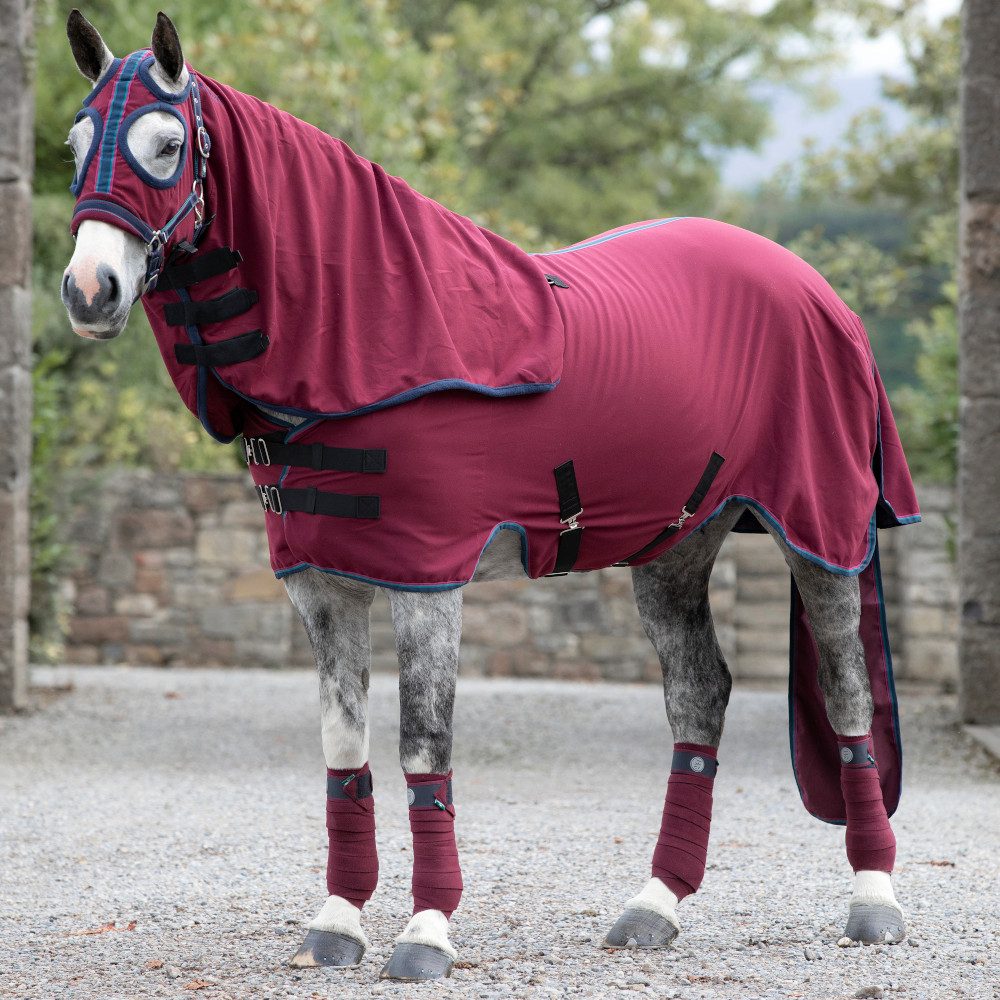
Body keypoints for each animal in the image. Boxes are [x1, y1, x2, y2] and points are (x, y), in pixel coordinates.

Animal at [60, 10, 920, 982]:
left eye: (168, 145)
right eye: (75, 146)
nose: (89, 291)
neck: (378, 343)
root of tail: (818, 292)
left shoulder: (430, 583)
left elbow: (422, 750)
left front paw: (426, 932)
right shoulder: (322, 590)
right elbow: (345, 753)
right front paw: (337, 923)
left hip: (821, 533)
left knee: (849, 700)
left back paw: (874, 903)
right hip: (676, 548)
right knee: (700, 695)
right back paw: (653, 905)